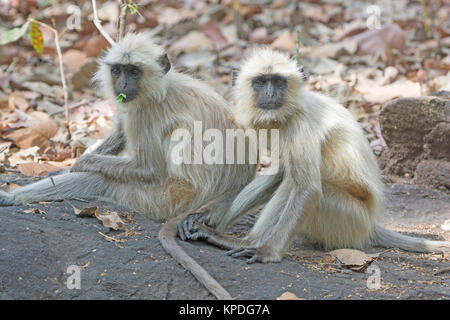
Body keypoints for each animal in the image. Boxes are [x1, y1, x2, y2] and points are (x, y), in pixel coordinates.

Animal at [0, 32, 255, 298]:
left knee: (101, 179)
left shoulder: (146, 113)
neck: (160, 87)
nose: (122, 84)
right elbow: (120, 135)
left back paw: (11, 197)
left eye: (133, 71)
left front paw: (80, 162)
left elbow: (149, 169)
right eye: (117, 70)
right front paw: (65, 166)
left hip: (171, 196)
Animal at [179, 47, 450, 262]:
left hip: (349, 218)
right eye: (261, 82)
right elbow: (279, 173)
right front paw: (203, 215)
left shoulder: (299, 124)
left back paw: (248, 243)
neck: (289, 111)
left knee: (298, 183)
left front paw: (269, 253)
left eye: (278, 82)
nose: (270, 94)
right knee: (287, 178)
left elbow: (307, 188)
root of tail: (371, 224)